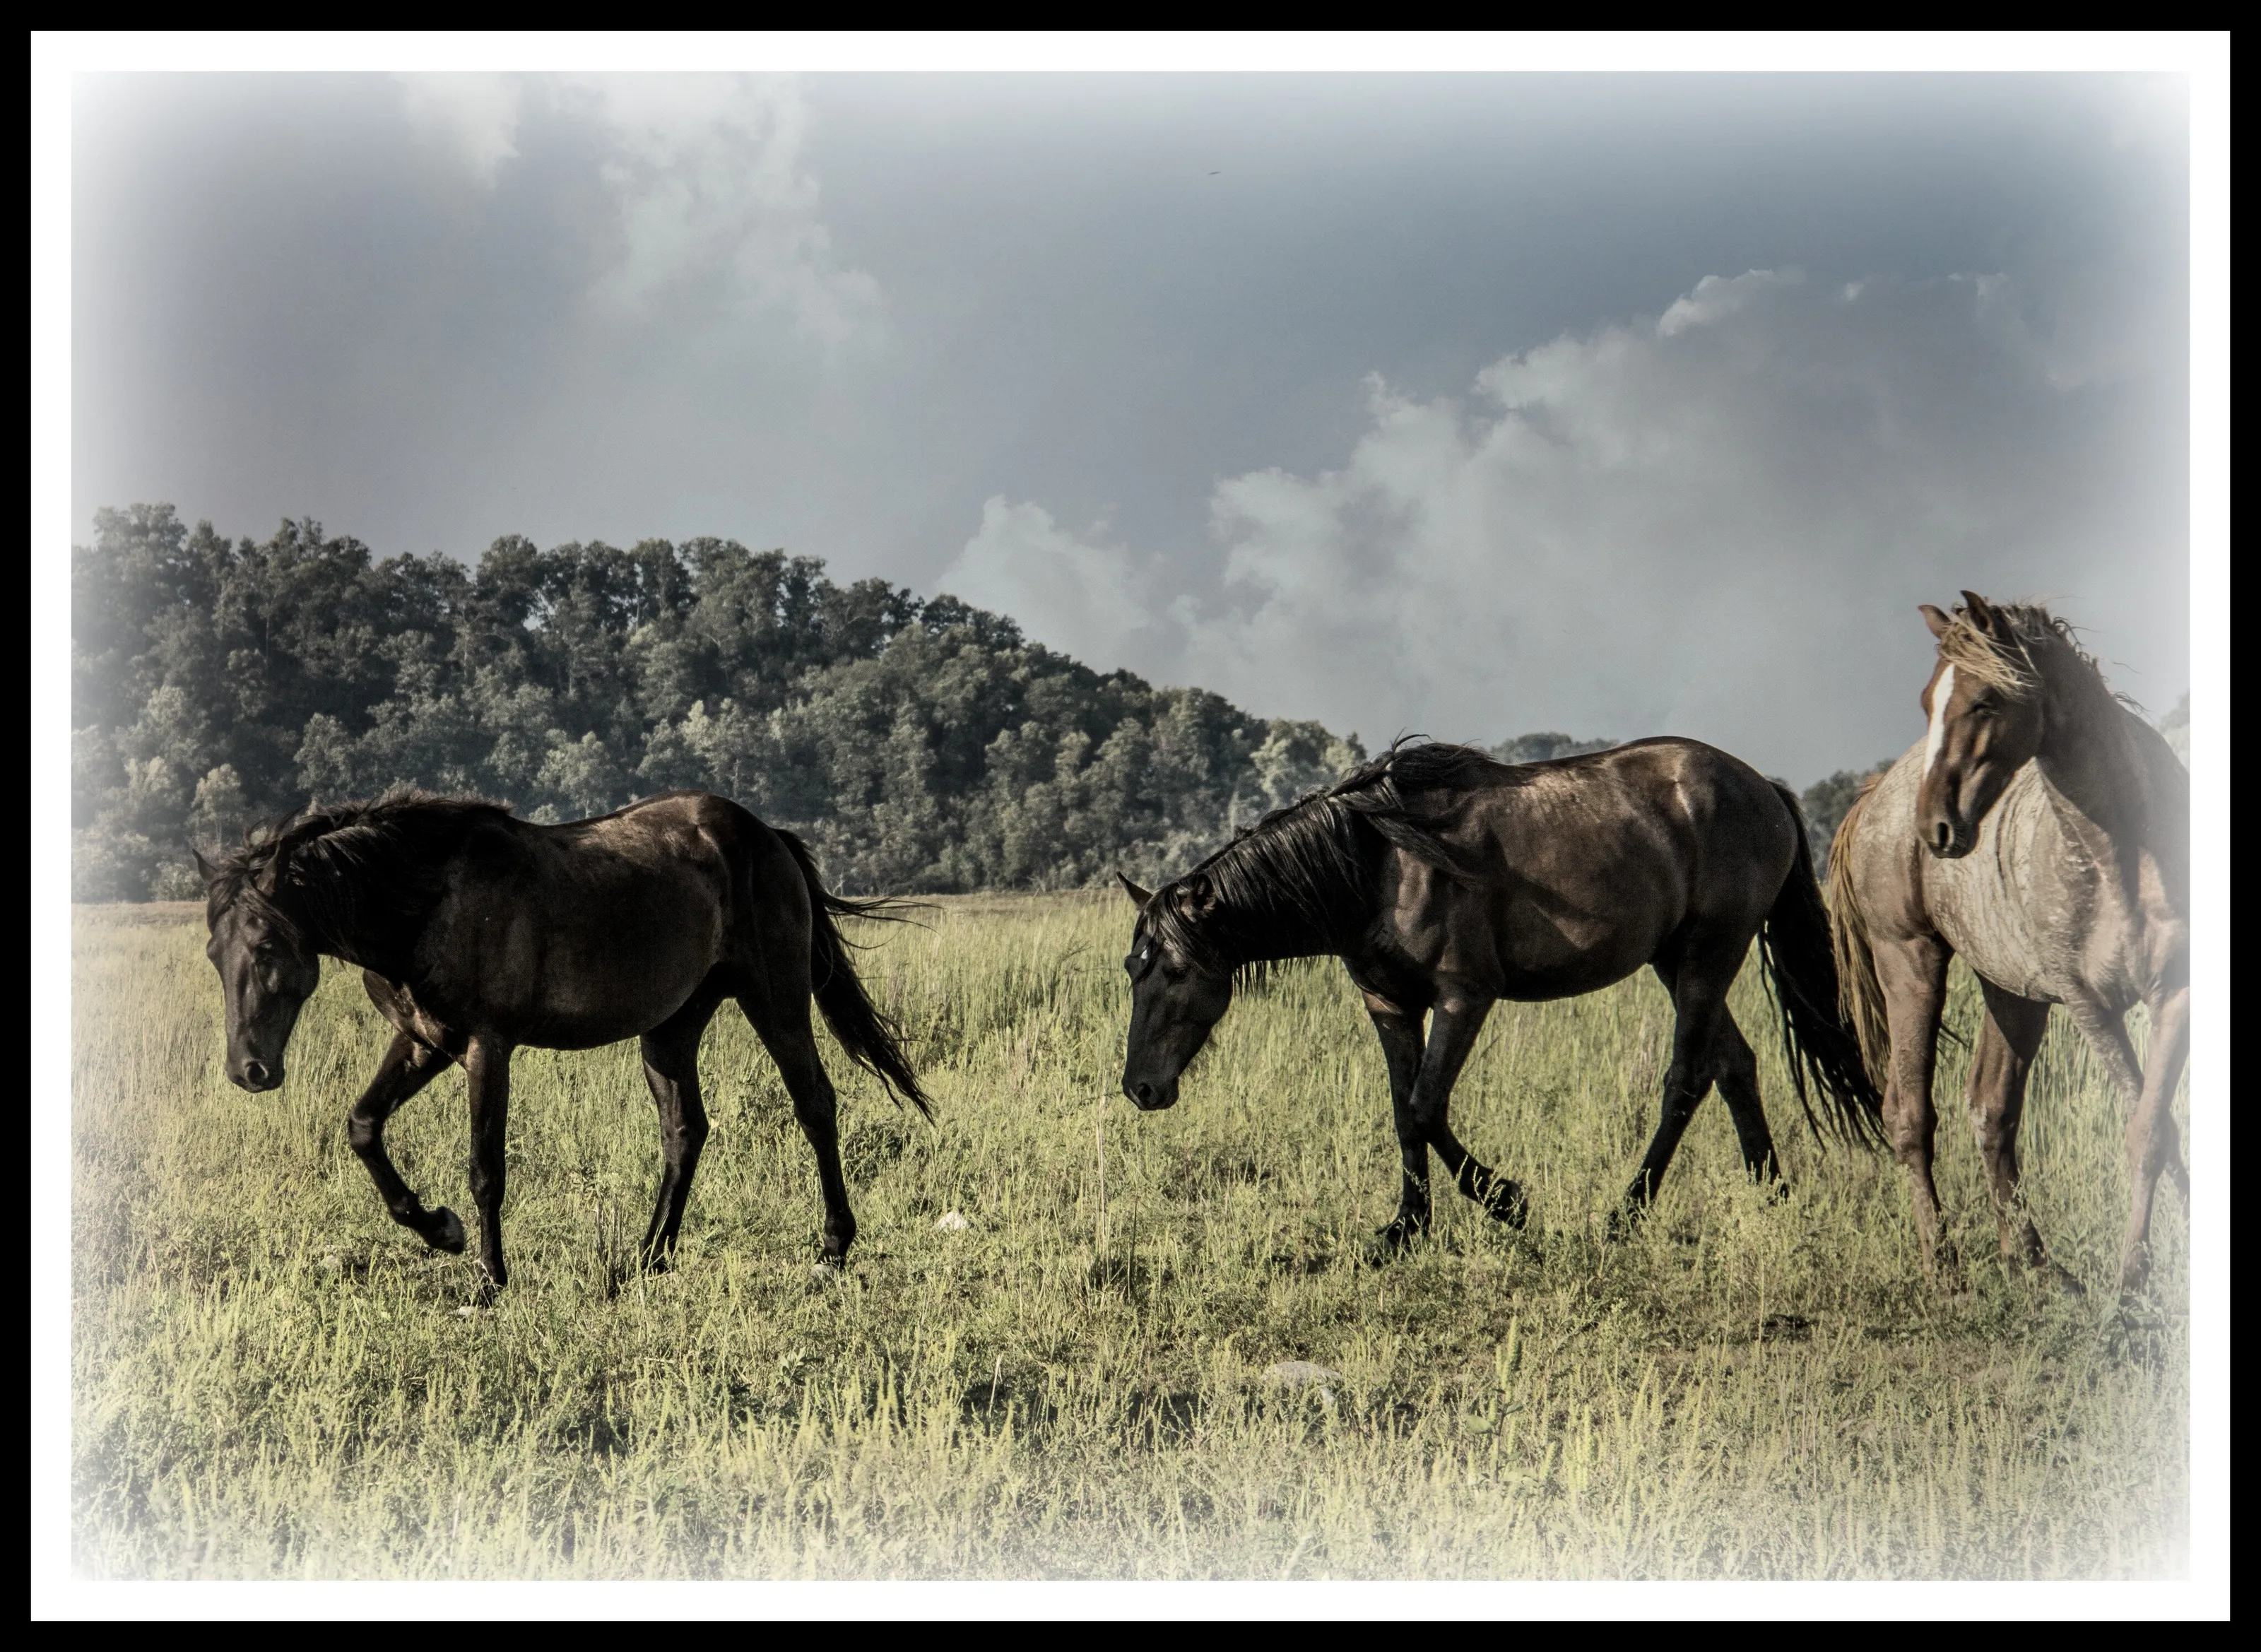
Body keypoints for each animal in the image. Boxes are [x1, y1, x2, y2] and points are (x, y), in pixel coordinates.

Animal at [196, 789, 929, 1291]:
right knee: (684, 1131)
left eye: (267, 948)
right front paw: (439, 1230)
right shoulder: (423, 1043)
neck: (426, 901)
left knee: (815, 1105)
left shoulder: (487, 1048)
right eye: (213, 953)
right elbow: (363, 1127)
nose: (249, 1070)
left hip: (775, 1003)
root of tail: (765, 835)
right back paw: (648, 1257)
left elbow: (486, 1169)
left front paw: (490, 1278)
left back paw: (832, 1249)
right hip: (670, 1030)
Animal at [1116, 739, 1883, 1250]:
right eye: (1133, 967)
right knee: (1736, 1066)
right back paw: (1772, 1193)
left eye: (1175, 970)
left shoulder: (1464, 996)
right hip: (1677, 962)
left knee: (1687, 1079)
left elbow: (1426, 1106)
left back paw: (1626, 1214)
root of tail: (1763, 788)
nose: (1140, 1088)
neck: (1377, 863)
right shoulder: (1388, 1005)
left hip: (1707, 957)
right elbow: (1403, 1113)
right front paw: (1406, 1228)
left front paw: (1505, 1202)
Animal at [1828, 593, 2189, 1297]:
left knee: (1992, 1110)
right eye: (1928, 701)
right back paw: (1942, 1266)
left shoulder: (2177, 994)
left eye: (1986, 700)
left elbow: (2158, 1129)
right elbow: (2150, 1128)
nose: (1936, 828)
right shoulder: (2090, 1005)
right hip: (1910, 962)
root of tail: (1877, 795)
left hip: (2010, 991)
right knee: (1910, 1113)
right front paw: (2134, 1279)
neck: (2118, 852)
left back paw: (2036, 1263)